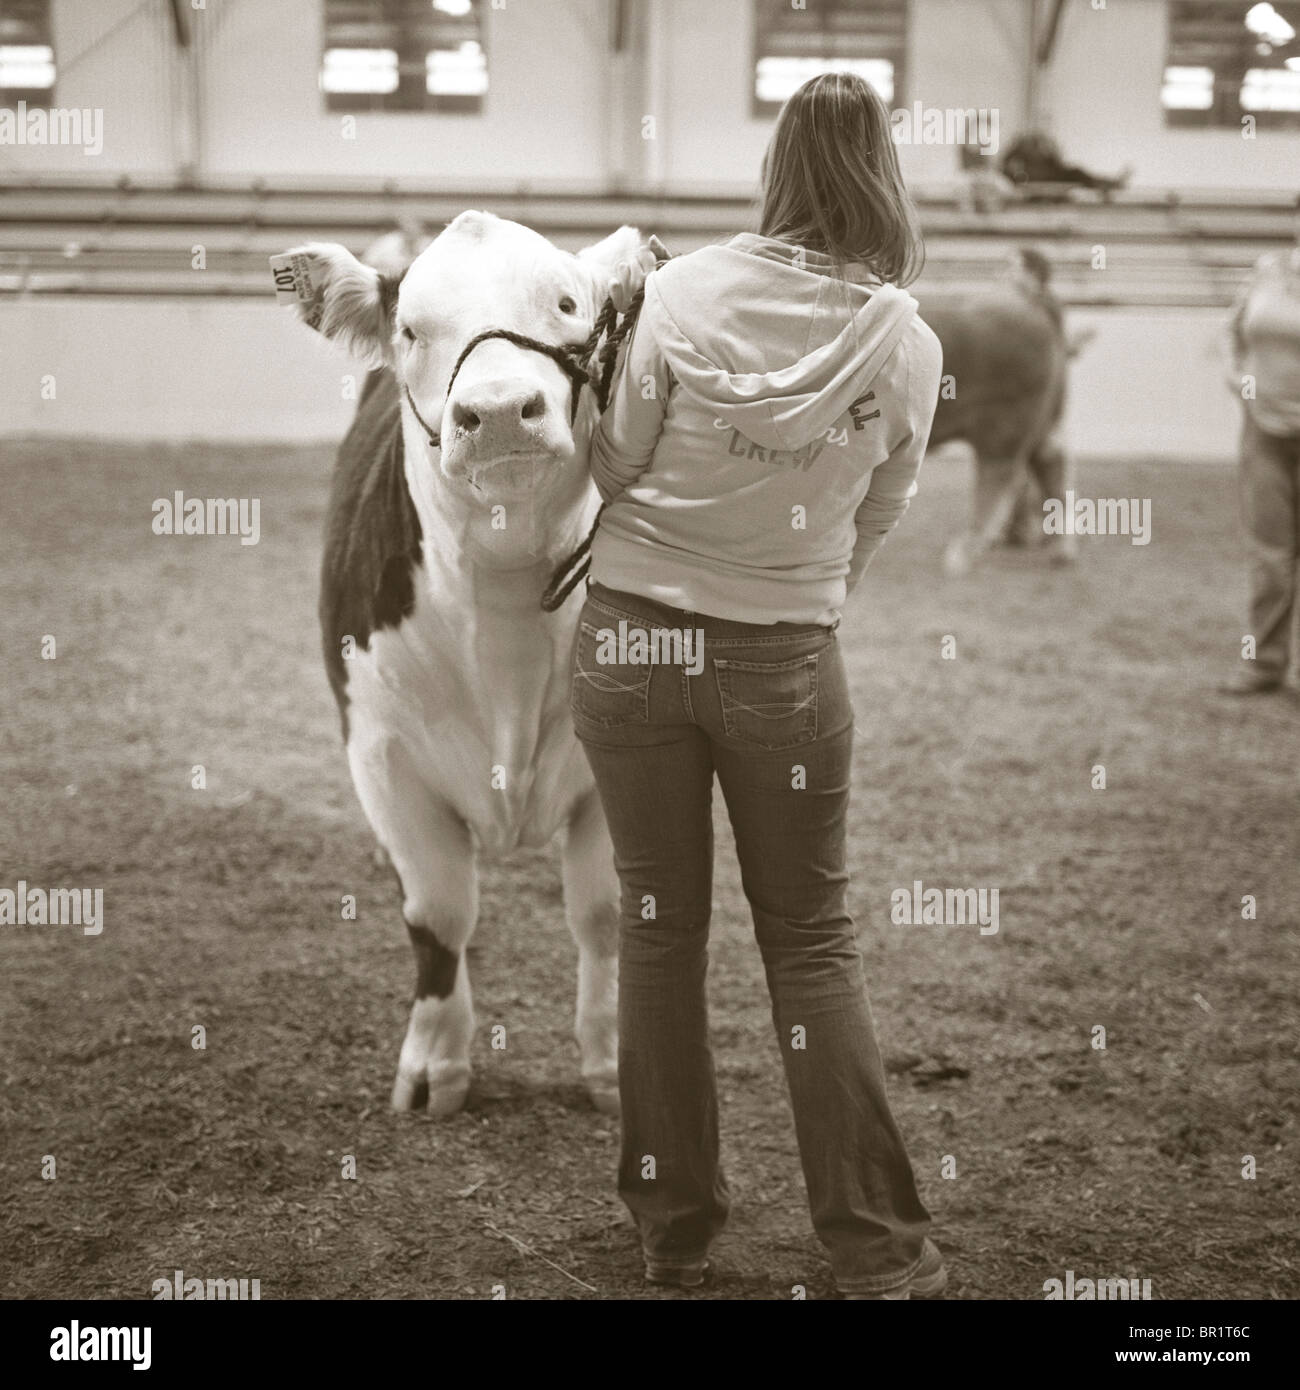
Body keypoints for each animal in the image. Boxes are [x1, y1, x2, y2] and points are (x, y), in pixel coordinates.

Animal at [276, 211, 647, 1112]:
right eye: (411, 329)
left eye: (567, 302)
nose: (501, 412)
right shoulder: (379, 752)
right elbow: (439, 912)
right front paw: (435, 1066)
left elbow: (605, 912)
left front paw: (609, 1064)